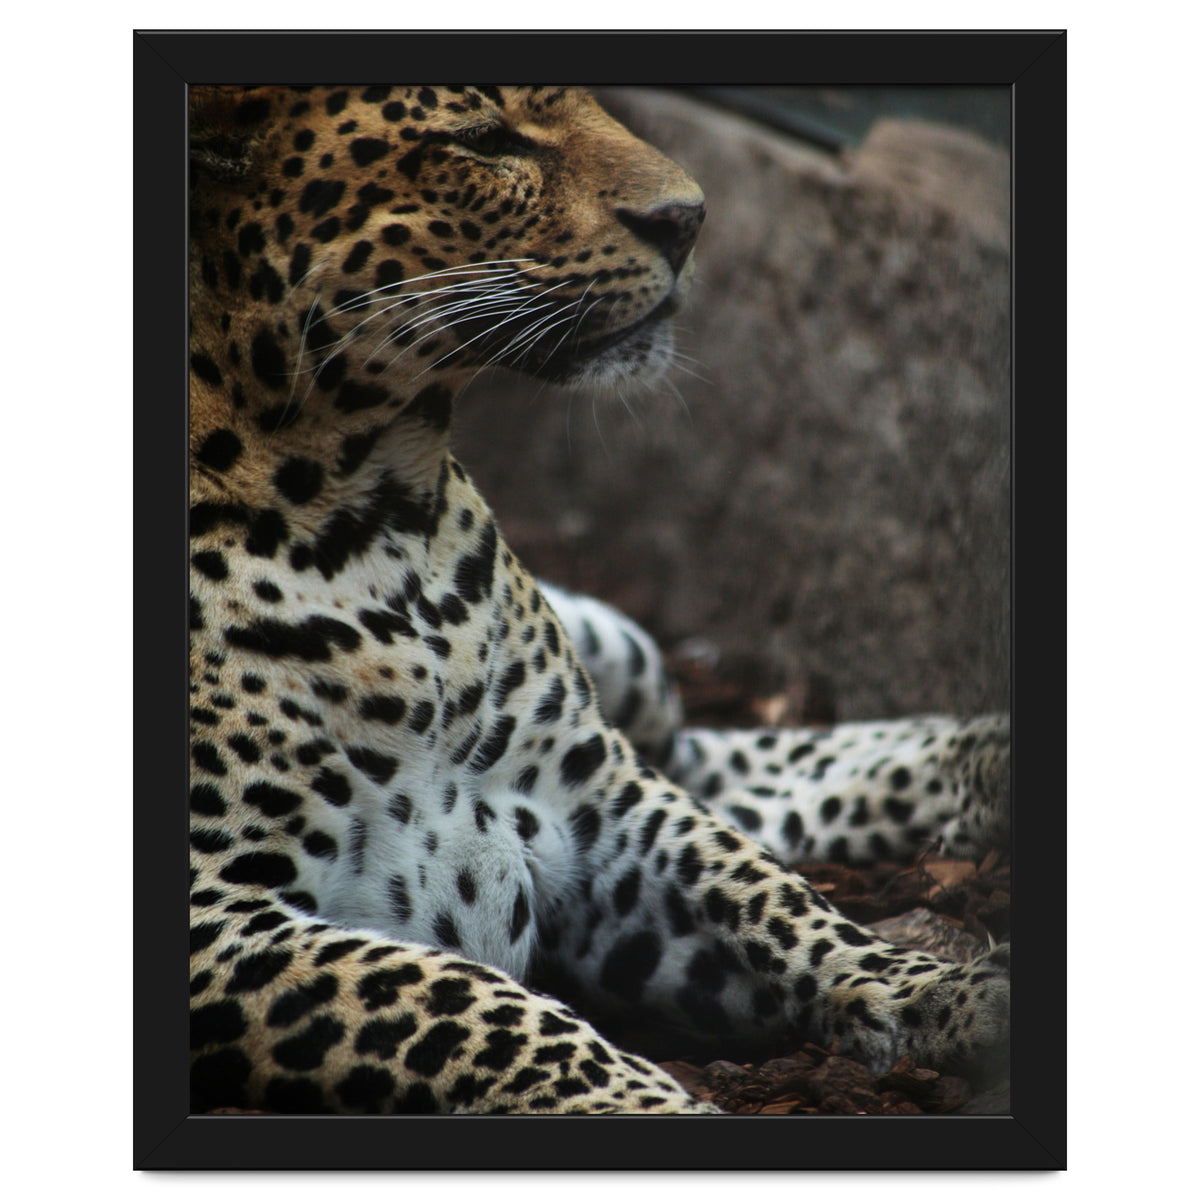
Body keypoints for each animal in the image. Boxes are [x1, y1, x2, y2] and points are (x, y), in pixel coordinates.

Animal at [189, 84, 1010, 1116]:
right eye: (483, 138)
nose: (689, 219)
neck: (378, 518)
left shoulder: (598, 802)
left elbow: (771, 896)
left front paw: (946, 991)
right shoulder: (218, 917)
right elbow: (470, 1001)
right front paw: (660, 1107)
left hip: (630, 667)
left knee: (714, 764)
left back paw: (987, 759)